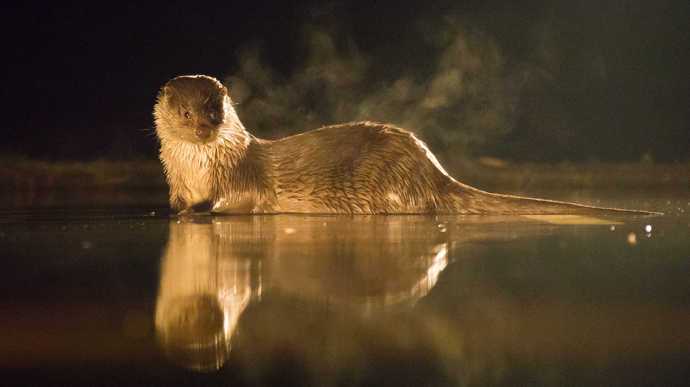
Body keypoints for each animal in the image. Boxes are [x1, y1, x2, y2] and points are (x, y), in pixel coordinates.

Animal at [155, 76, 644, 215]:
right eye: (186, 114)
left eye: (215, 109)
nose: (205, 129)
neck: (197, 170)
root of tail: (433, 170)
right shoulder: (175, 181)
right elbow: (177, 201)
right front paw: (178, 210)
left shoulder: (240, 178)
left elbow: (239, 200)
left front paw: (197, 212)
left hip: (383, 178)